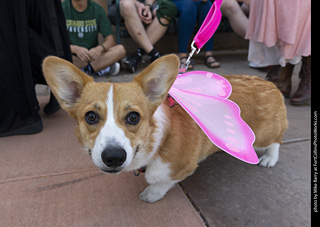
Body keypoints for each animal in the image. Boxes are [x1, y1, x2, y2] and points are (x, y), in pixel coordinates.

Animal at [42, 54, 288, 202]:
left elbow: (163, 182)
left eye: (134, 117)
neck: (156, 143)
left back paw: (269, 158)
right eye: (91, 116)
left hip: (264, 134)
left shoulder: (181, 168)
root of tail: (270, 84)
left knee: (277, 140)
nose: (113, 157)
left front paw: (151, 194)